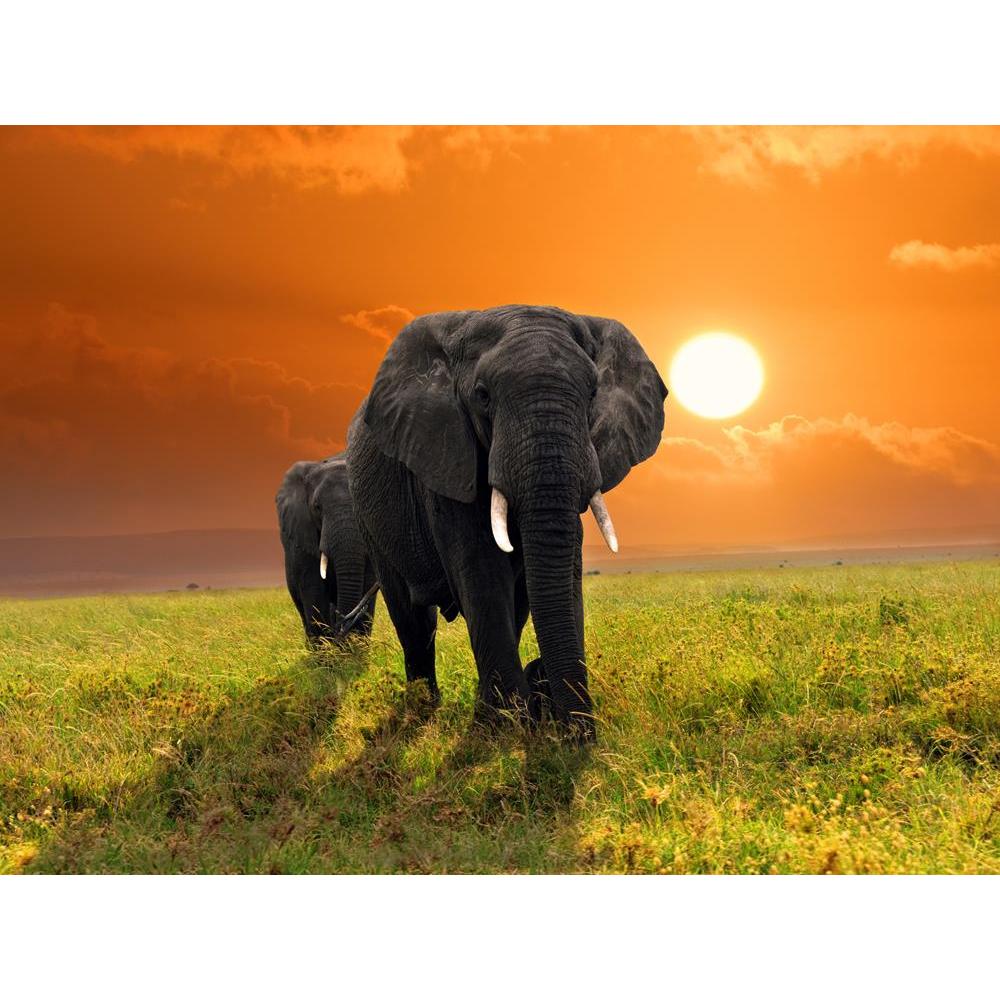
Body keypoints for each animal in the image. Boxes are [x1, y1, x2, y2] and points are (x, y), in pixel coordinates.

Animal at [347, 305, 667, 740]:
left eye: (592, 394)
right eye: (482, 396)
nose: (576, 734)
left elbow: (560, 568)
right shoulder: (448, 451)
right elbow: (481, 569)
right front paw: (505, 728)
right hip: (370, 520)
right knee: (413, 618)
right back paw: (424, 708)